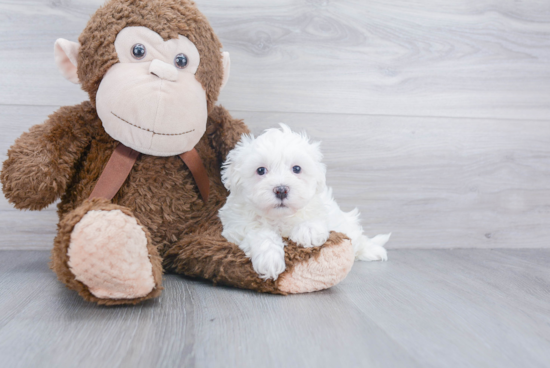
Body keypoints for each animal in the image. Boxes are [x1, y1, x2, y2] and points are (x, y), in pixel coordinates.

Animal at [218, 125, 390, 280]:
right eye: (260, 170)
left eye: (297, 169)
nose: (281, 190)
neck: (280, 218)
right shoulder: (237, 227)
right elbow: (260, 233)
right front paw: (270, 258)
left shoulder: (321, 209)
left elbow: (316, 218)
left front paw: (308, 231)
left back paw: (372, 250)